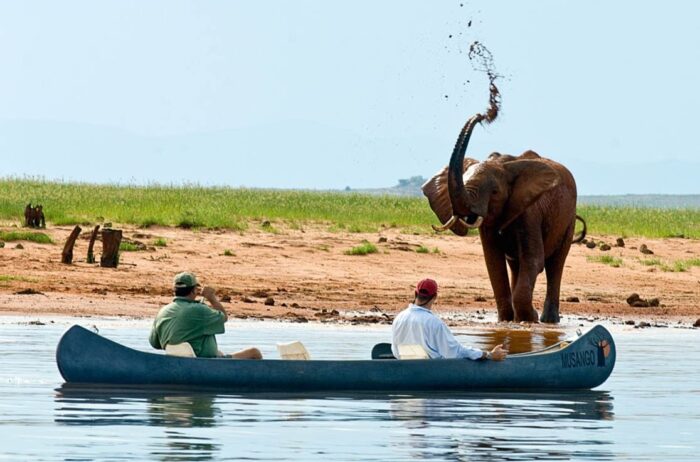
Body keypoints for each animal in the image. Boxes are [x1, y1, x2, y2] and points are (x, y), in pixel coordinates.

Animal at [422, 113, 584, 324]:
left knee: (555, 264)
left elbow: (534, 259)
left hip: (568, 220)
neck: (506, 166)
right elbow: (493, 262)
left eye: (495, 192)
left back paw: (548, 321)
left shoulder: (530, 212)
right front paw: (506, 321)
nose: (483, 114)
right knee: (516, 265)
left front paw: (529, 318)